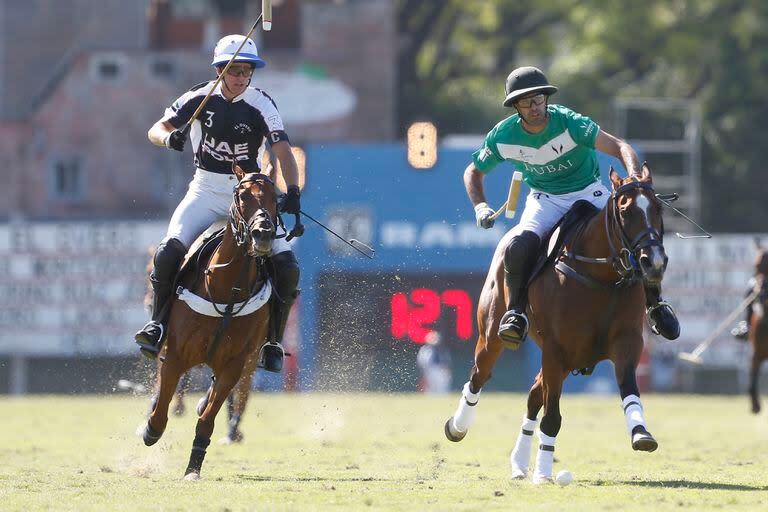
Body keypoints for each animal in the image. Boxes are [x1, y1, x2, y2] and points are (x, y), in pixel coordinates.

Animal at [142, 165, 278, 480]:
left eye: (276, 197)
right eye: (242, 196)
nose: (263, 234)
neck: (227, 289)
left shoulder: (235, 363)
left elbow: (208, 417)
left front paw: (193, 468)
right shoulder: (175, 355)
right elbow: (162, 409)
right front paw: (150, 429)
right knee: (169, 249)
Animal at [448, 165, 668, 484]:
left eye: (658, 208)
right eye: (625, 211)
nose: (654, 262)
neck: (601, 276)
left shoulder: (627, 341)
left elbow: (629, 388)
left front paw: (641, 434)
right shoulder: (556, 347)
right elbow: (552, 416)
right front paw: (542, 472)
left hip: (566, 360)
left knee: (532, 395)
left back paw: (518, 463)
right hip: (493, 336)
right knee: (480, 375)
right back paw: (458, 426)